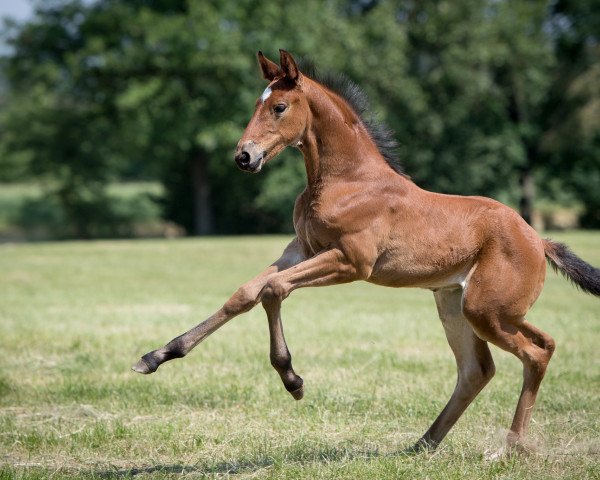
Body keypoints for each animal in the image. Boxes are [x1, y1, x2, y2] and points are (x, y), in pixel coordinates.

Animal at [134, 50, 596, 456]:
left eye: (279, 107)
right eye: (256, 105)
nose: (244, 157)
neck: (347, 180)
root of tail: (540, 240)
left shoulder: (350, 262)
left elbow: (273, 290)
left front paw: (292, 379)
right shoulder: (300, 249)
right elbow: (246, 293)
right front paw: (157, 356)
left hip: (488, 310)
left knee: (537, 352)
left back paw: (510, 448)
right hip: (460, 305)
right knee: (480, 369)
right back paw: (422, 444)